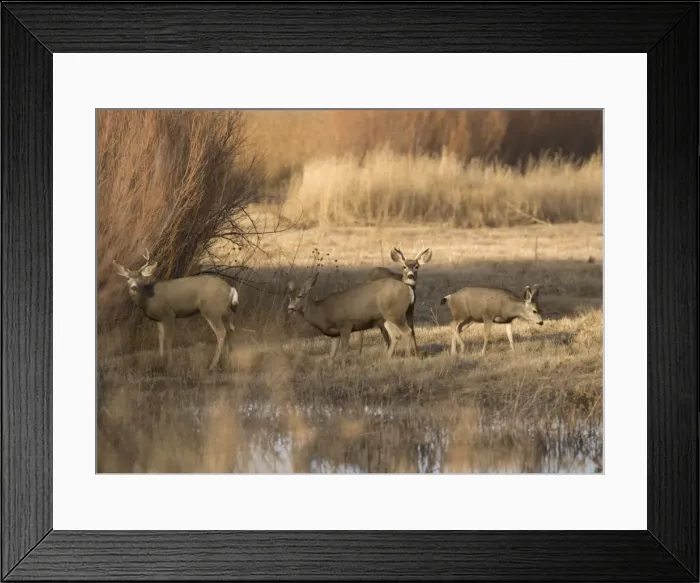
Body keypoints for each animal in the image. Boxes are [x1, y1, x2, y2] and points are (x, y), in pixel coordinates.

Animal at [286, 271, 419, 359]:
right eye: (289, 297)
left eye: (300, 296)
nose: (290, 309)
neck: (323, 312)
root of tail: (408, 289)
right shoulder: (334, 334)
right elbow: (331, 355)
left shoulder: (345, 324)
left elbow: (344, 350)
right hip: (387, 317)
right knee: (396, 335)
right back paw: (386, 358)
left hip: (394, 314)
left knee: (407, 331)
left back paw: (409, 357)